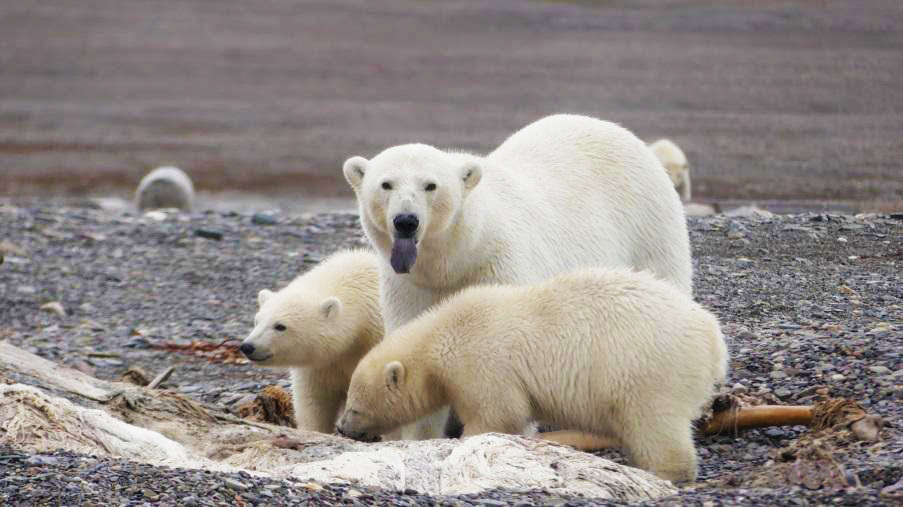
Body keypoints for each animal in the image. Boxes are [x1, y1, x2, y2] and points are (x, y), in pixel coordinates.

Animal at [338, 268, 728, 482]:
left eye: (355, 406)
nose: (342, 428)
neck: (443, 331)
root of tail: (713, 338)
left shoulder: (481, 360)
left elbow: (499, 413)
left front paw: (469, 442)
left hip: (646, 365)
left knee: (654, 421)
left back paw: (666, 470)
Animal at [344, 113, 692, 438]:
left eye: (430, 185)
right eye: (386, 184)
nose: (406, 221)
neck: (459, 256)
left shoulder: (499, 268)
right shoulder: (410, 286)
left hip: (648, 228)